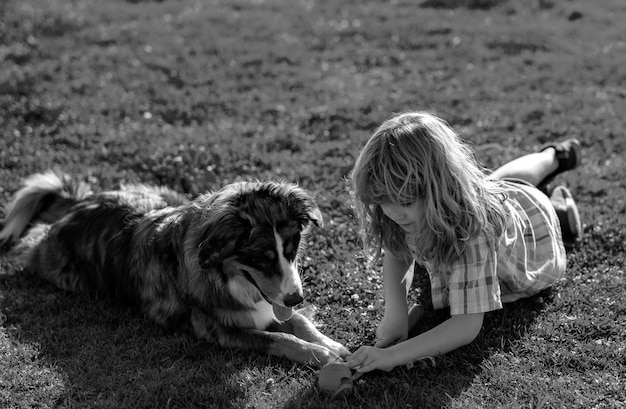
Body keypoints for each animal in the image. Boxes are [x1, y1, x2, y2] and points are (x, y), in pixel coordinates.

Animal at [0, 171, 348, 368]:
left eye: (291, 250)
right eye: (261, 258)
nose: (295, 298)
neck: (224, 276)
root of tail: (77, 206)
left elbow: (299, 322)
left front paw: (329, 344)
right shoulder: (217, 329)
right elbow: (280, 338)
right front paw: (321, 355)